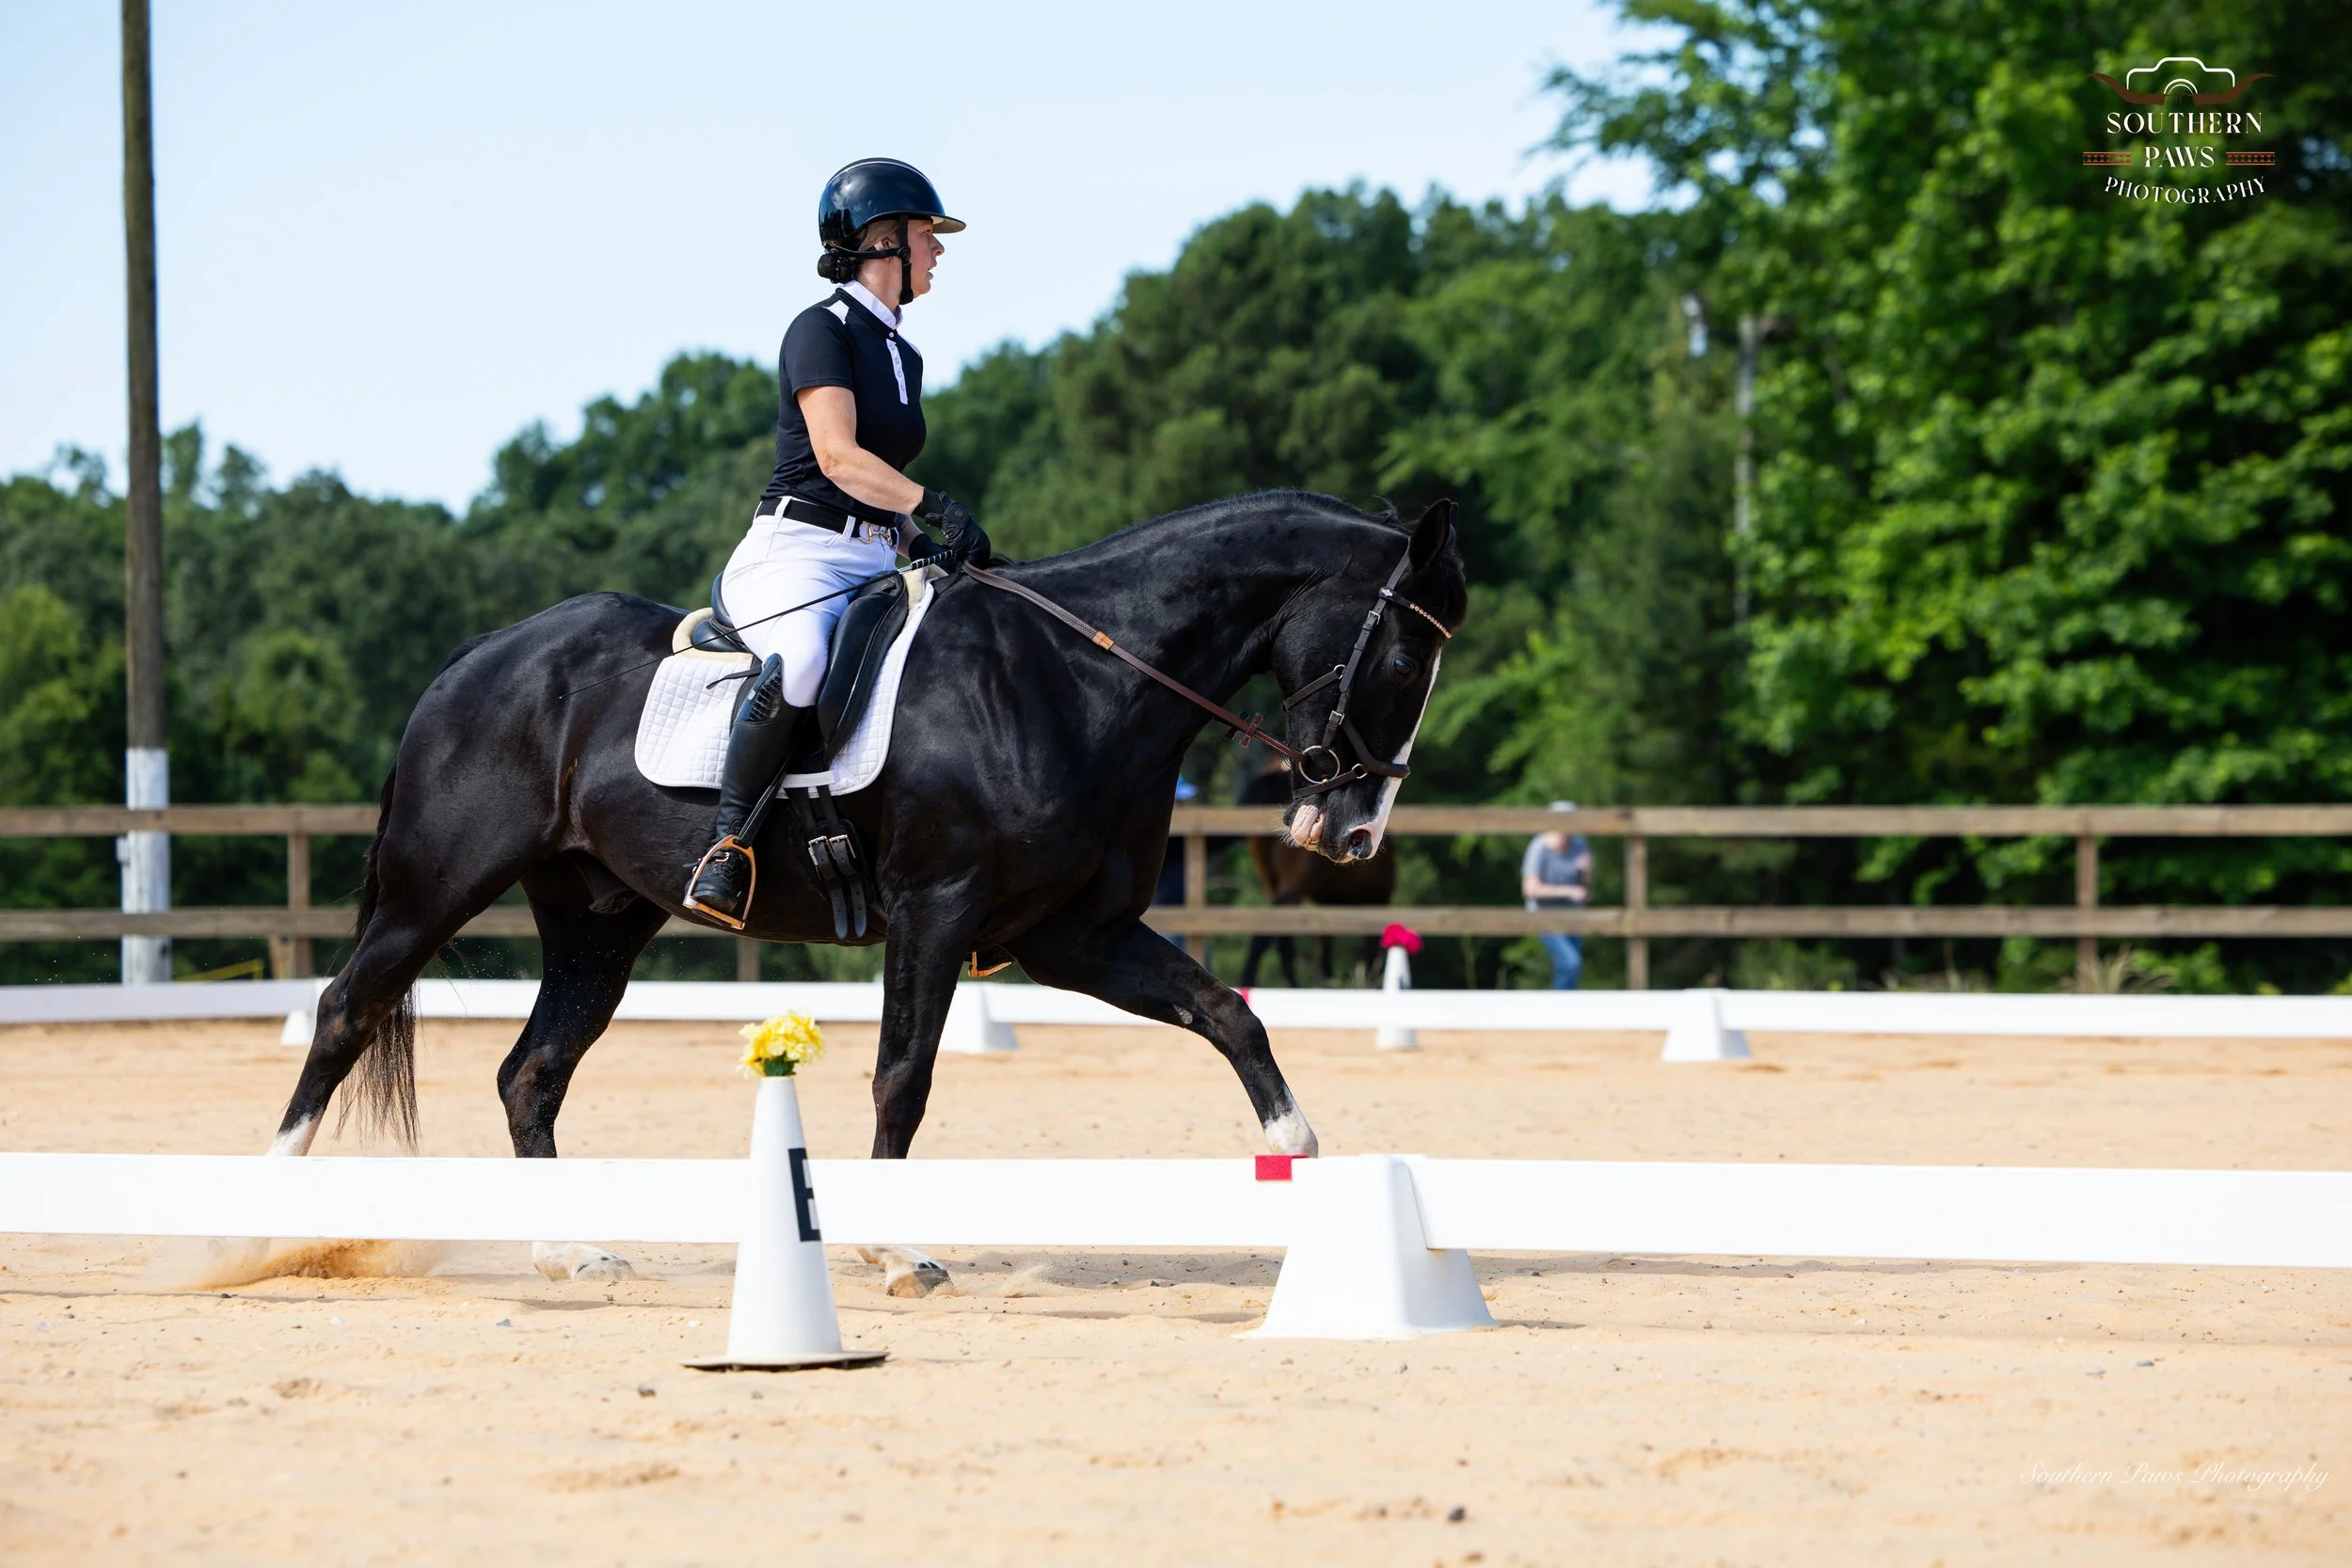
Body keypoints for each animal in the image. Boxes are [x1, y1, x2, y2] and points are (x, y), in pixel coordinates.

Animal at [1234, 760, 1397, 988]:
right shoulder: (1375, 901)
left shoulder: (1329, 908)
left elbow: (1325, 961)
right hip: (1296, 885)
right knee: (1265, 936)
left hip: (1271, 881)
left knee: (1282, 941)